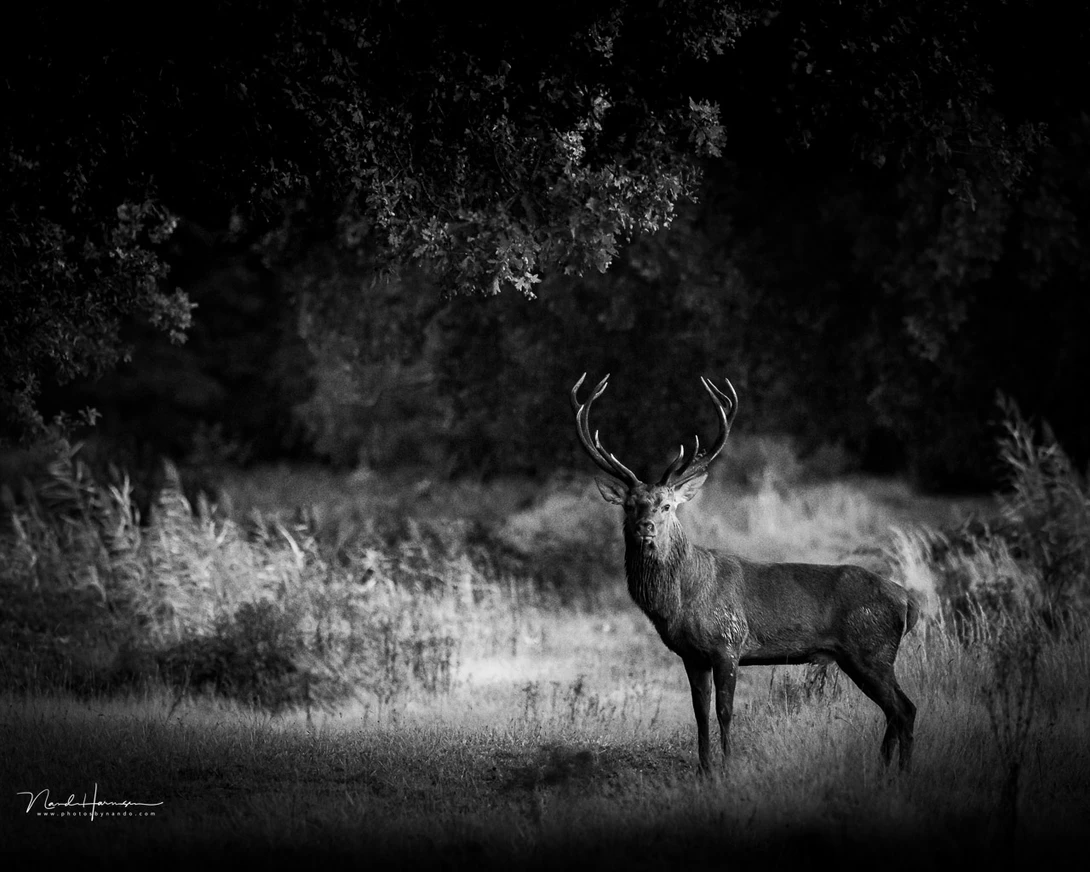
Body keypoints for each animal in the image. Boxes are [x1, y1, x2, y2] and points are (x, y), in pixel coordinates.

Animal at [570, 373, 918, 771]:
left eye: (667, 505)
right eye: (629, 505)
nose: (646, 527)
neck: (680, 602)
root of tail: (908, 600)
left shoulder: (728, 643)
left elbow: (724, 712)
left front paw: (728, 768)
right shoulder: (693, 656)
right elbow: (700, 715)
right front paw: (705, 771)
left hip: (871, 649)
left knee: (905, 709)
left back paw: (901, 773)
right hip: (862, 656)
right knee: (895, 711)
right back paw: (884, 769)